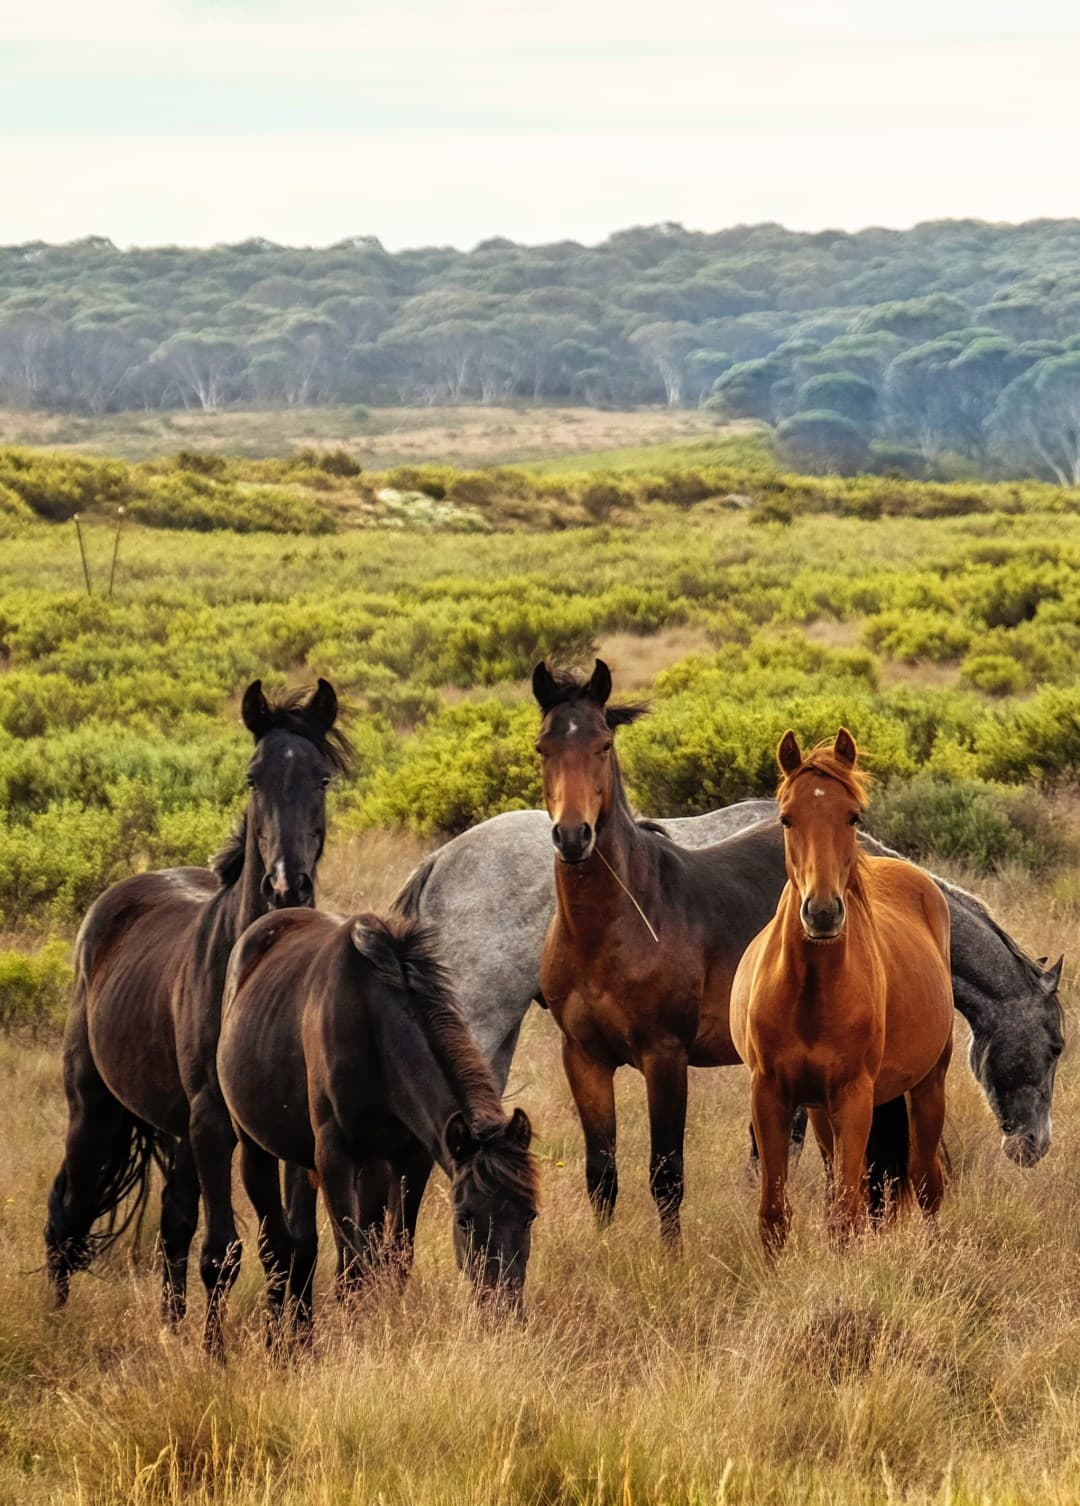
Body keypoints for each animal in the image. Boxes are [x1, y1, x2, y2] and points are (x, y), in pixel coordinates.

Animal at [45, 683, 349, 1355]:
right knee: (67, 1215)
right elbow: (226, 1251)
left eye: (321, 777)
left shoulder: (286, 1126)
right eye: (253, 777)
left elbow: (295, 1244)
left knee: (172, 1226)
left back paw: (171, 1326)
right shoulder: (213, 1121)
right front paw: (218, 1357)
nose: (286, 886)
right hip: (95, 1111)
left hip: (176, 1132)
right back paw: (56, 1321)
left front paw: (295, 1344)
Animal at [218, 903, 539, 1331]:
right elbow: (352, 1267)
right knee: (276, 1249)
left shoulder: (411, 1159)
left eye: (530, 1216)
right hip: (256, 1149)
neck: (374, 1028)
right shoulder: (333, 1157)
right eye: (464, 1219)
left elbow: (395, 1256)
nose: (503, 1312)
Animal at [726, 734, 951, 1252]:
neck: (811, 992)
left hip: (928, 1086)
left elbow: (849, 1214)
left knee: (926, 1183)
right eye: (786, 818)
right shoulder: (771, 1094)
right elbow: (775, 1214)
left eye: (853, 816)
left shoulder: (853, 1096)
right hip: (819, 1110)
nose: (823, 913)